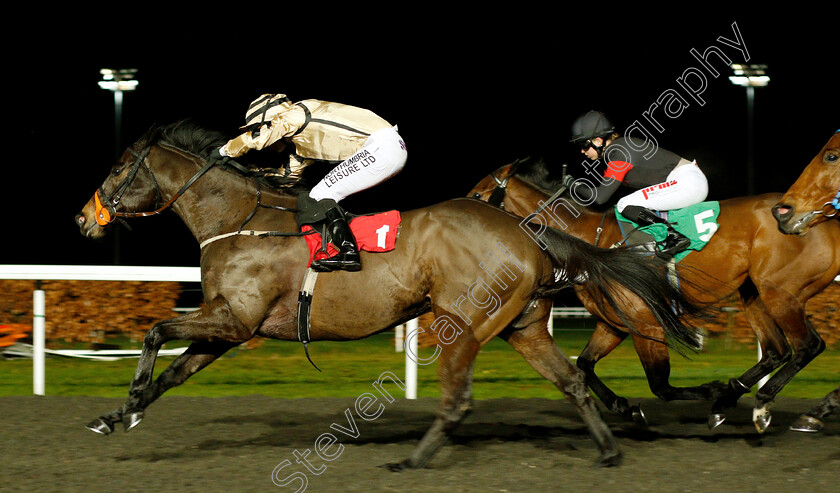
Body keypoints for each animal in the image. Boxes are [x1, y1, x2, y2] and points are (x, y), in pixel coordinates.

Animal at [74, 121, 704, 468]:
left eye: (120, 168)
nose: (84, 218)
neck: (241, 220)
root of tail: (525, 229)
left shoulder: (235, 321)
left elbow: (155, 331)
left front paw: (129, 399)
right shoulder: (229, 328)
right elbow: (174, 372)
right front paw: (116, 414)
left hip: (463, 323)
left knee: (460, 398)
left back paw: (413, 460)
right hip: (521, 324)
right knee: (571, 379)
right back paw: (609, 449)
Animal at [470, 153, 836, 430]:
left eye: (476, 196)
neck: (592, 240)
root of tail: (823, 220)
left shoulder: (647, 323)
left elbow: (660, 385)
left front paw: (711, 389)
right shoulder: (615, 323)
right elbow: (586, 364)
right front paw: (625, 407)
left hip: (781, 292)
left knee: (807, 345)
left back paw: (757, 404)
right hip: (756, 292)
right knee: (776, 350)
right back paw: (735, 401)